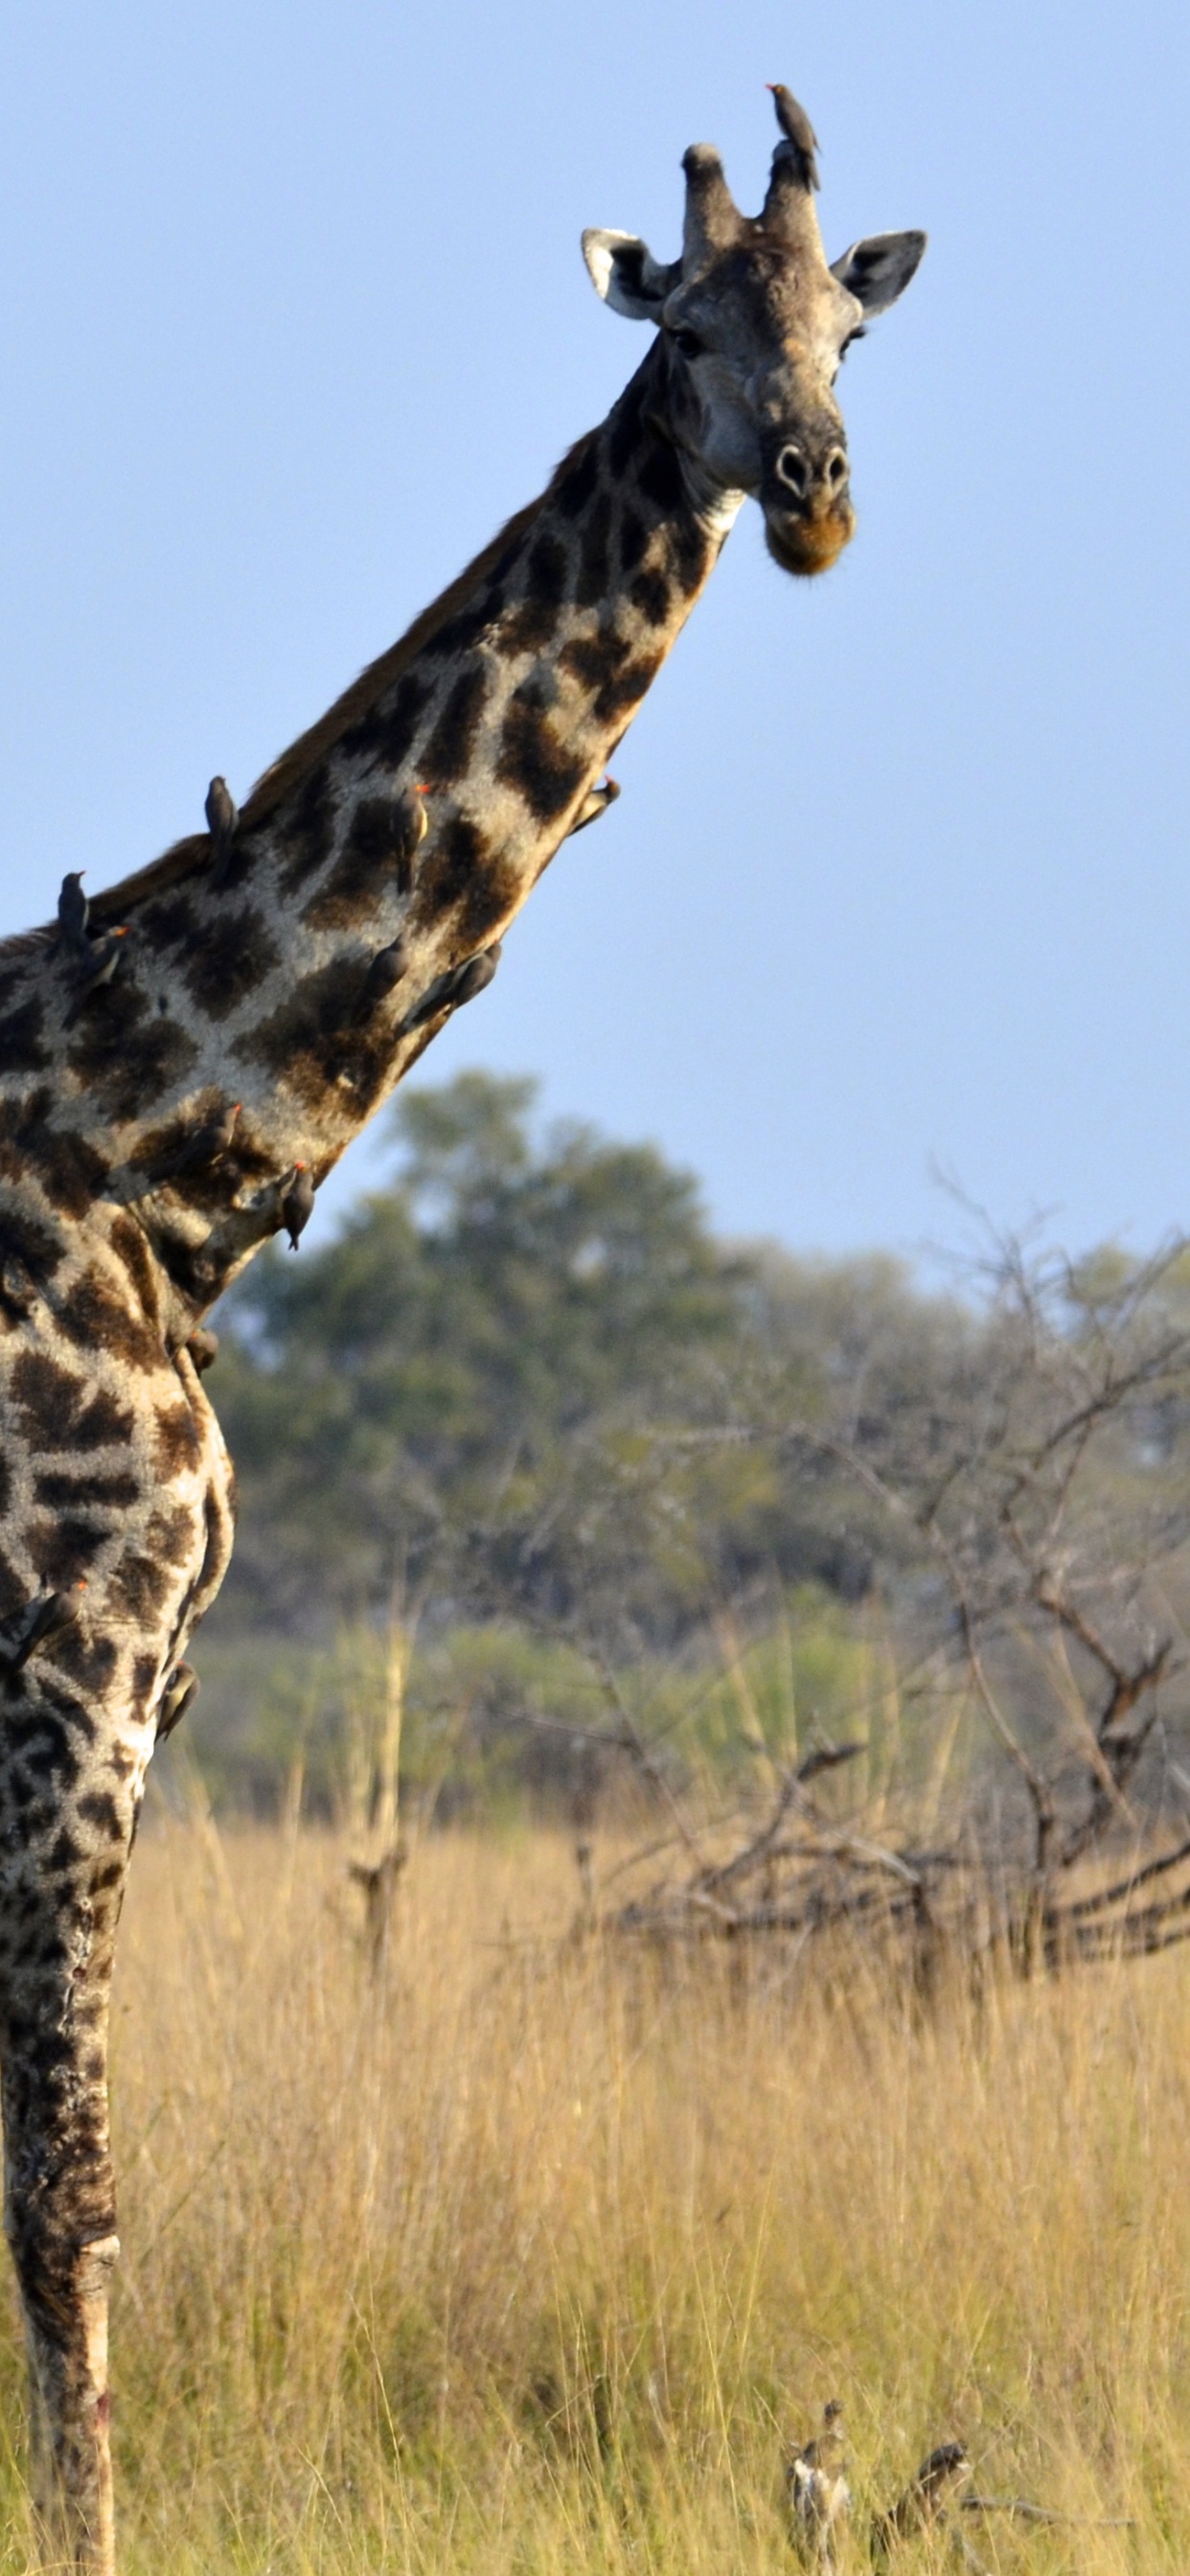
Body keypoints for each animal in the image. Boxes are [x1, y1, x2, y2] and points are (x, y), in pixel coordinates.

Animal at [0, 85, 922, 2576]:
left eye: (852, 326)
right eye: (684, 323)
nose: (812, 487)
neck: (160, 1146)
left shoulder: (145, 1698)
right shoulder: (64, 1690)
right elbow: (68, 2193)